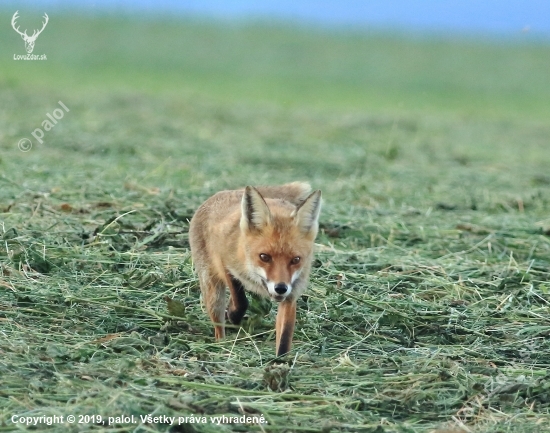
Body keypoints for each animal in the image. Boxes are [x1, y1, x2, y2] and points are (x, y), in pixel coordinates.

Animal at [189, 181, 322, 354]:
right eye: (264, 257)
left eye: (296, 260)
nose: (281, 288)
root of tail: (227, 191)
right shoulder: (224, 262)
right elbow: (240, 300)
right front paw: (234, 315)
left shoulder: (291, 293)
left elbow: (285, 335)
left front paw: (280, 360)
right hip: (213, 292)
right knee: (219, 324)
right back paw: (222, 345)